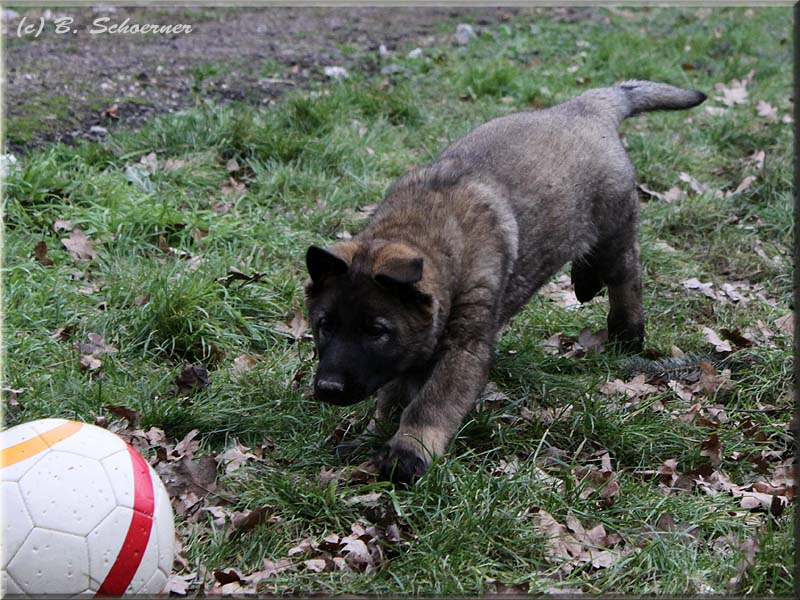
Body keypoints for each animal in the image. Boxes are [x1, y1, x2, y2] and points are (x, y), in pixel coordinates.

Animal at [304, 81, 704, 482]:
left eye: (376, 331)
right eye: (324, 326)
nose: (328, 388)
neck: (423, 232)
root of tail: (585, 107)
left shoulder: (464, 346)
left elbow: (431, 402)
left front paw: (409, 451)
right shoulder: (415, 345)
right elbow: (394, 392)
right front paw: (372, 433)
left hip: (614, 230)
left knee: (627, 276)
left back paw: (627, 332)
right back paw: (586, 282)